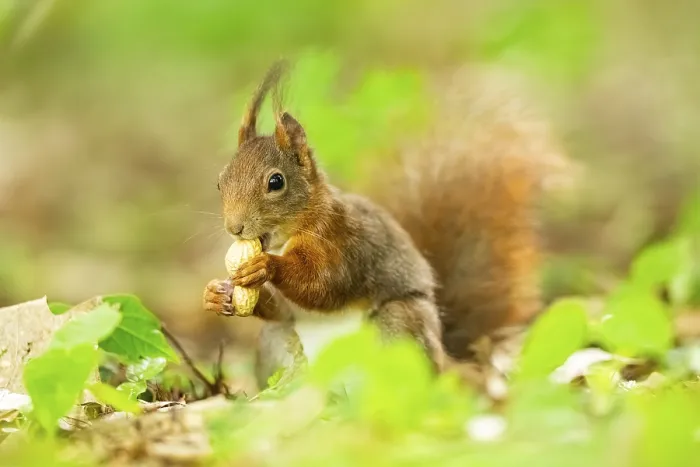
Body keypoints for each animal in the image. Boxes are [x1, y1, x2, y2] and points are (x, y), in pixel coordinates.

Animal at [202, 60, 568, 388]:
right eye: (220, 182)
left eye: (275, 182)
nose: (234, 228)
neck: (287, 237)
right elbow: (280, 309)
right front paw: (216, 295)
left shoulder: (345, 243)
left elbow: (324, 285)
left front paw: (264, 266)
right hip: (277, 343)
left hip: (399, 327)